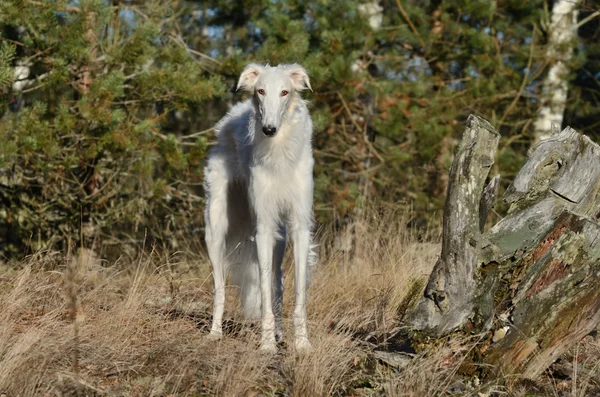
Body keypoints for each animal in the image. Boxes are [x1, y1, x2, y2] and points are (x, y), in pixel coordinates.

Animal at [204, 62, 316, 350]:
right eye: (261, 91)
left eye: (285, 91)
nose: (269, 129)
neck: (278, 151)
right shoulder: (263, 227)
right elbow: (263, 291)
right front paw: (266, 345)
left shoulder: (299, 225)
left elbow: (298, 292)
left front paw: (302, 344)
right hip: (216, 227)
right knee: (220, 287)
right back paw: (215, 332)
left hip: (280, 237)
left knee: (278, 283)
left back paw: (280, 333)